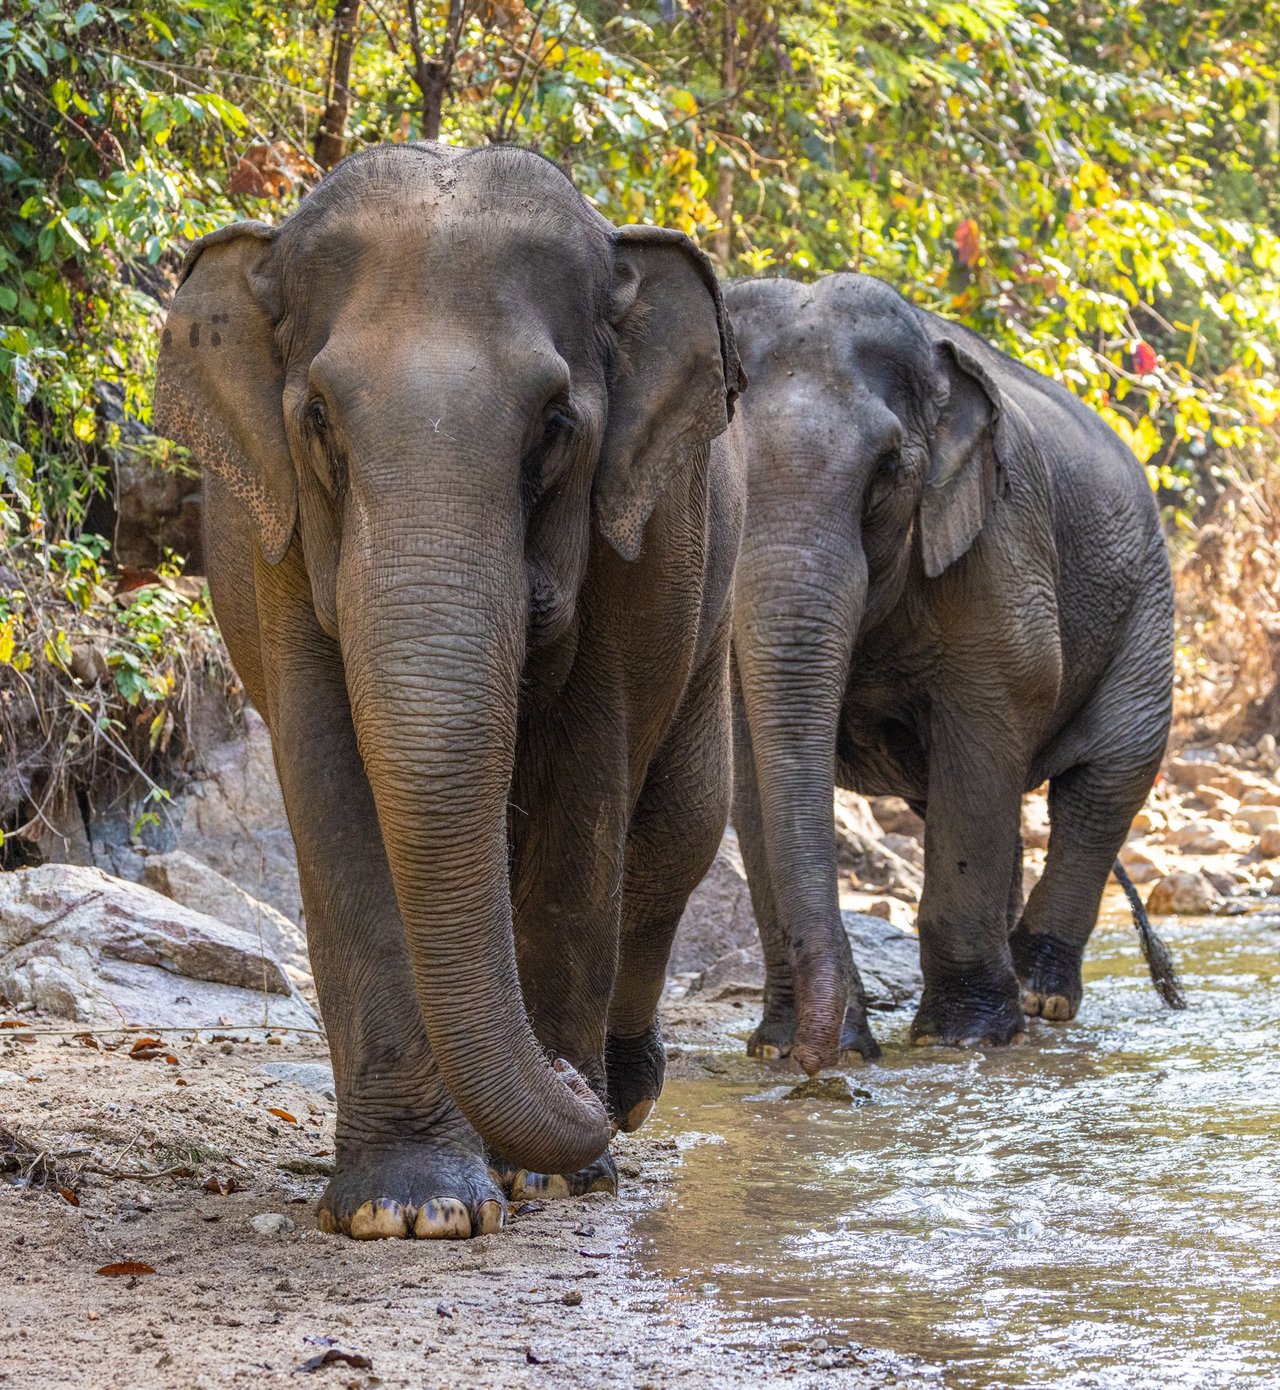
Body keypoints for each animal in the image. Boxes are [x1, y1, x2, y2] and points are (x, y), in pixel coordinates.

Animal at [153, 143, 744, 1239]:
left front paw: (548, 1177)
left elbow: (587, 792)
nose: (569, 1082)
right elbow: (333, 787)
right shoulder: (274, 543)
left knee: (676, 835)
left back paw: (627, 1089)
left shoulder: (647, 545)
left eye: (554, 424)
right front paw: (409, 1206)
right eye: (319, 421)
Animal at [722, 273, 1172, 1073]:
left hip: (1147, 608)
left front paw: (963, 1037)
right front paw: (780, 1048)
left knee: (1101, 784)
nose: (819, 1060)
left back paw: (1039, 999)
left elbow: (986, 734)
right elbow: (752, 777)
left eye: (887, 471)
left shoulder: (1000, 544)